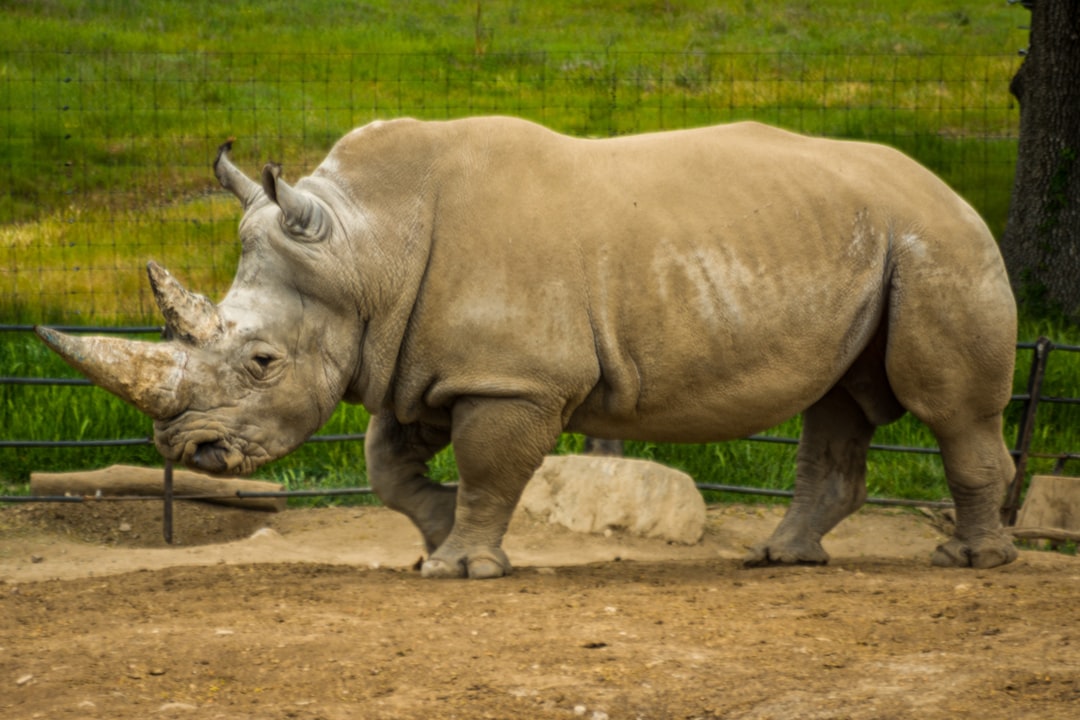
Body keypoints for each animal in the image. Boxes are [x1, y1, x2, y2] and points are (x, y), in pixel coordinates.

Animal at [37, 116, 1019, 578]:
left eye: (262, 363)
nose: (187, 450)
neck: (363, 251)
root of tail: (954, 192)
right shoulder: (415, 362)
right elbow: (390, 466)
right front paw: (435, 542)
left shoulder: (510, 378)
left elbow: (489, 467)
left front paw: (462, 567)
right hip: (871, 242)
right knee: (840, 401)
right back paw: (782, 558)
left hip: (938, 243)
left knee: (947, 406)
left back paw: (970, 563)